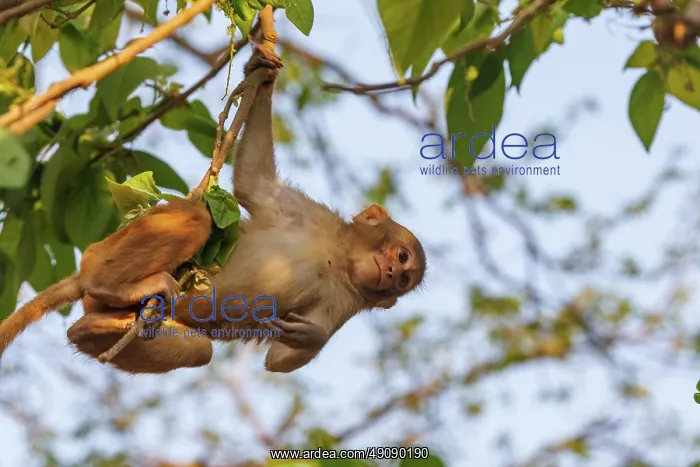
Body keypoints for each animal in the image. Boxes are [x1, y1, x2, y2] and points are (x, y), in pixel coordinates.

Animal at [1, 44, 427, 374]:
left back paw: (95, 328)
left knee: (198, 349)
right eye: (401, 256)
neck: (335, 258)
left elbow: (281, 359)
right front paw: (262, 76)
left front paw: (311, 335)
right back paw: (111, 285)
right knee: (196, 218)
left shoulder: (346, 304)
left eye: (404, 281)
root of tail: (86, 271)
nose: (392, 274)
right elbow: (254, 183)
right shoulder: (307, 213)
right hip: (108, 247)